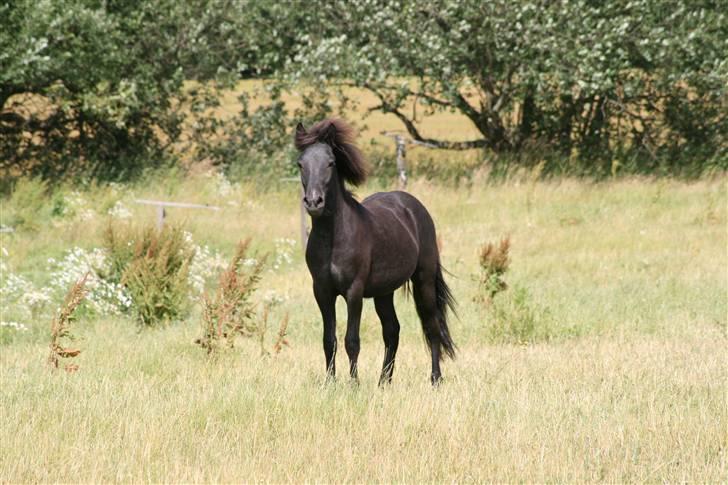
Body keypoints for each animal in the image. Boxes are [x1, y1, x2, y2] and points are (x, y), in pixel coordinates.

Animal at [294, 119, 456, 384]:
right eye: (301, 163)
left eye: (330, 163)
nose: (313, 202)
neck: (333, 239)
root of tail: (413, 207)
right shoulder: (322, 292)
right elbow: (329, 340)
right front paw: (330, 384)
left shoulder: (354, 292)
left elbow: (352, 341)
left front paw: (354, 384)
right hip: (384, 292)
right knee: (392, 330)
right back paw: (384, 382)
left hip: (424, 279)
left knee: (432, 326)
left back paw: (435, 379)